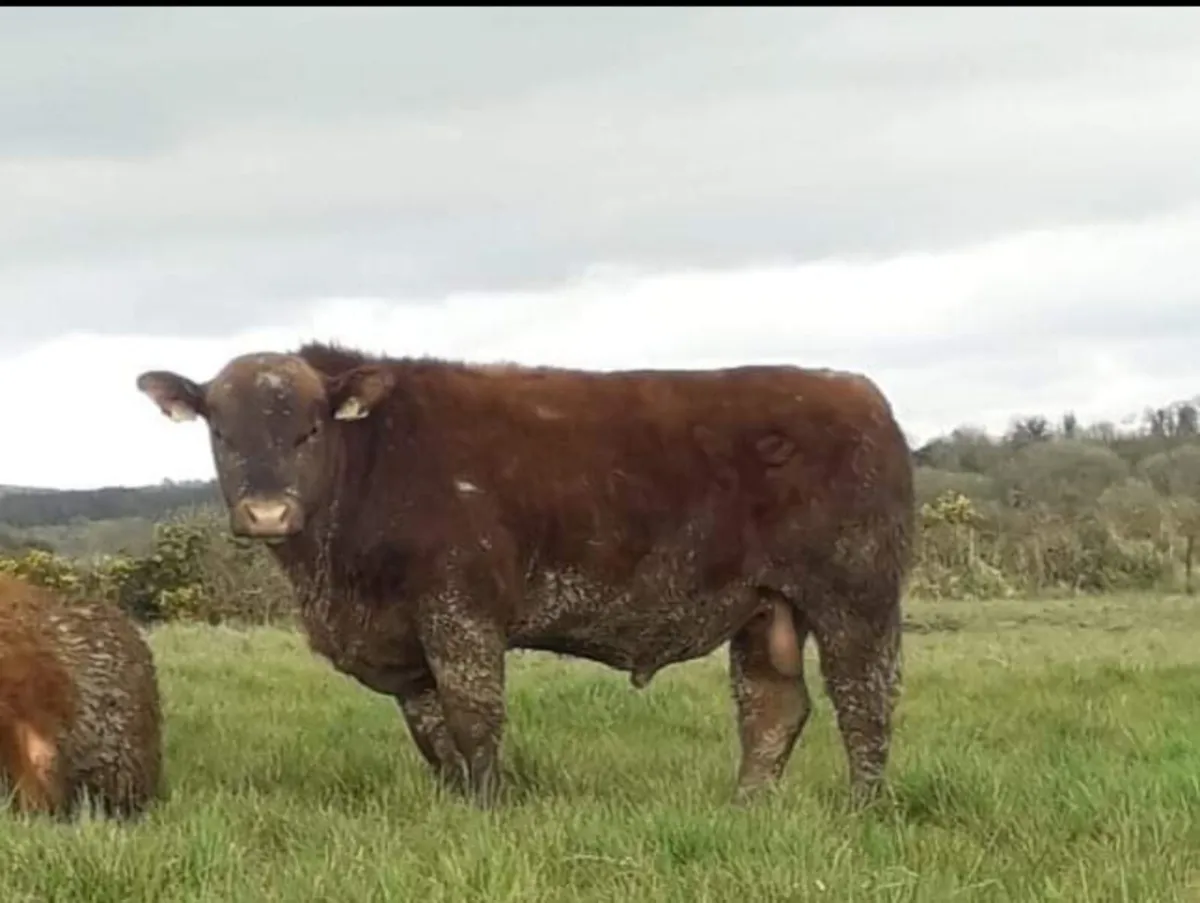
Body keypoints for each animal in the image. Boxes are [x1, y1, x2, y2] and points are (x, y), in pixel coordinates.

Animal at [136, 343, 914, 807]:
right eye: (221, 432)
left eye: (310, 430)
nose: (267, 511)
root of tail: (855, 390)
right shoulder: (407, 645)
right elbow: (433, 732)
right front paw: (455, 804)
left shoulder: (460, 611)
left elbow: (474, 716)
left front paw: (489, 809)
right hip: (765, 608)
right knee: (773, 707)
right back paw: (746, 806)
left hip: (857, 597)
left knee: (864, 702)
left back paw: (862, 809)